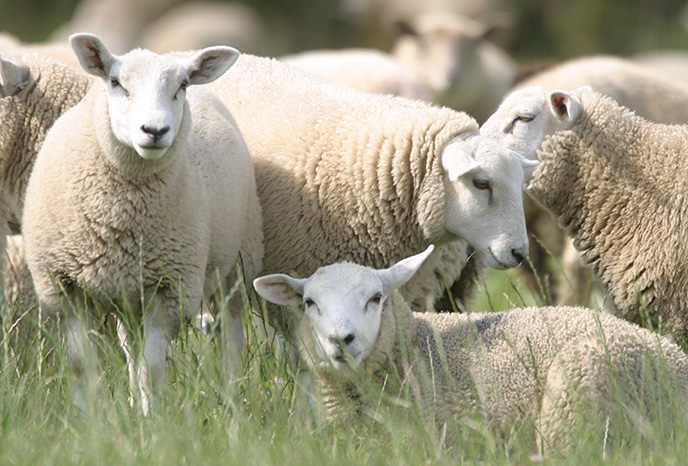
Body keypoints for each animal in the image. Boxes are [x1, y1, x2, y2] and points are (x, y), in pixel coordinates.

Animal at [22, 33, 263, 414]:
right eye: (115, 82)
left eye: (182, 85)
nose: (155, 130)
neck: (119, 216)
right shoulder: (64, 287)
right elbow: (81, 364)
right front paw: (88, 417)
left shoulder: (171, 287)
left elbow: (154, 368)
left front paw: (151, 420)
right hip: (130, 293)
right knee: (130, 346)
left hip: (235, 270)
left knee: (231, 340)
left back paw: (231, 405)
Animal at [253, 246, 688, 455]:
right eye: (309, 302)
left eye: (376, 298)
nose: (341, 340)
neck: (416, 344)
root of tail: (677, 361)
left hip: (577, 397)